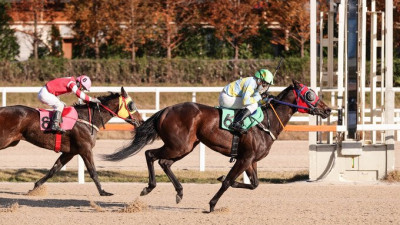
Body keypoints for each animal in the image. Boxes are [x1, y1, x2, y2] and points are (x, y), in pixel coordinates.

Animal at [0, 86, 144, 195]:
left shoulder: (70, 152)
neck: (86, 119)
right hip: (5, 140)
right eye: (132, 105)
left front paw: (35, 187)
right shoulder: (85, 149)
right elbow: (92, 171)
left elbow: (54, 169)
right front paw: (103, 192)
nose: (141, 121)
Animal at [103, 80, 332, 211]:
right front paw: (212, 204)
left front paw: (221, 179)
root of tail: (165, 110)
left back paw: (179, 192)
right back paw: (149, 187)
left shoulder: (251, 160)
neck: (266, 123)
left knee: (164, 162)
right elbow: (229, 182)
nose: (328, 109)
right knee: (151, 155)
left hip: (187, 146)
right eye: (310, 94)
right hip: (179, 145)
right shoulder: (244, 158)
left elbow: (254, 184)